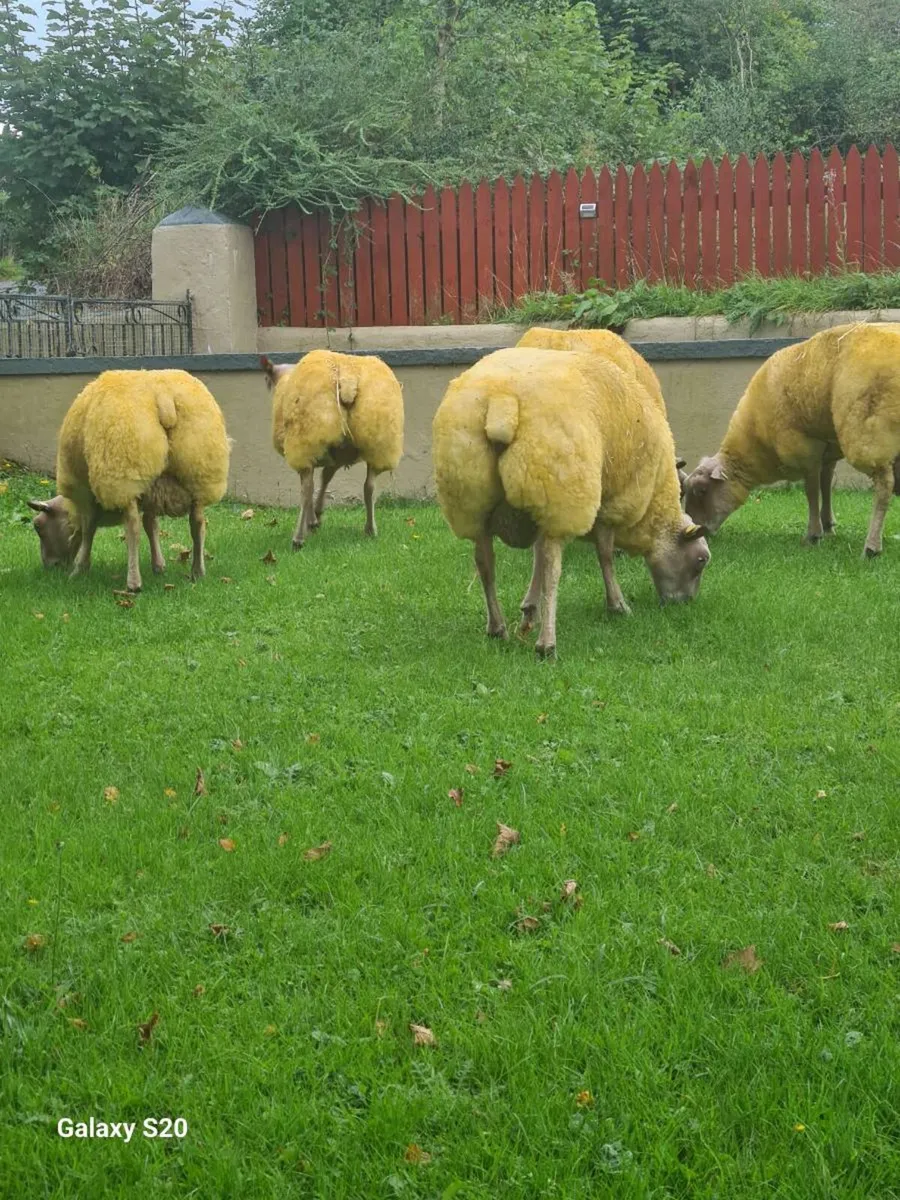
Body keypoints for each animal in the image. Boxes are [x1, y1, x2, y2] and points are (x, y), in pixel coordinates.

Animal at [28, 369, 230, 592]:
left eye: (38, 526)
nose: (49, 567)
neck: (72, 506)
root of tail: (164, 399)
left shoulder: (86, 492)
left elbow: (89, 529)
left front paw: (79, 569)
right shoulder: (151, 490)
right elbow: (151, 524)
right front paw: (159, 566)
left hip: (124, 474)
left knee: (132, 527)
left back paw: (133, 582)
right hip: (199, 472)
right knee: (198, 523)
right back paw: (197, 572)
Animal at [261, 350, 404, 548]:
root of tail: (348, 380)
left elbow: (314, 483)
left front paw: (312, 520)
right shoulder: (338, 453)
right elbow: (326, 477)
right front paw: (317, 514)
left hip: (306, 441)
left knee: (306, 489)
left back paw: (298, 538)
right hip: (380, 444)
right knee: (369, 486)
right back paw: (370, 529)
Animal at [432, 347, 711, 657]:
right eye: (701, 560)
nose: (685, 603)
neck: (653, 508)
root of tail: (501, 404)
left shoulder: (536, 508)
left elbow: (536, 558)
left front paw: (529, 609)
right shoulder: (613, 503)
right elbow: (604, 555)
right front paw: (617, 605)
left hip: (473, 497)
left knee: (485, 562)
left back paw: (497, 628)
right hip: (560, 489)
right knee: (553, 567)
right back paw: (546, 643)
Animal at [682, 323, 900, 557]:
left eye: (701, 490)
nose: (694, 532)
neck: (756, 440)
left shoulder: (803, 450)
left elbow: (811, 491)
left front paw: (814, 535)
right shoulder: (827, 448)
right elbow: (826, 484)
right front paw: (828, 525)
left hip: (868, 433)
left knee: (884, 486)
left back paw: (871, 547)